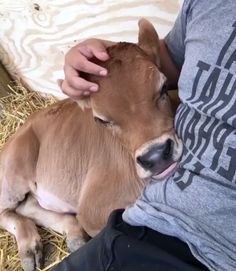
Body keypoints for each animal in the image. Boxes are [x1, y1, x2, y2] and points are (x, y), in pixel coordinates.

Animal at [0, 19, 183, 271]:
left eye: (164, 86)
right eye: (101, 120)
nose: (155, 156)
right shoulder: (92, 210)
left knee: (29, 206)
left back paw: (72, 234)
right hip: (12, 175)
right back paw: (30, 247)